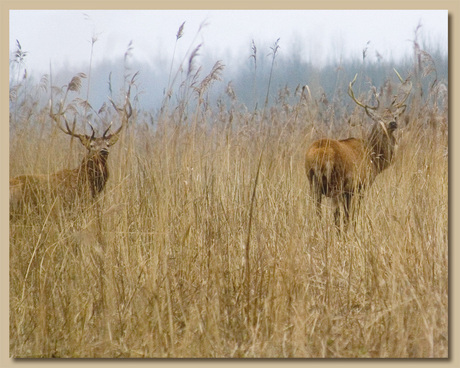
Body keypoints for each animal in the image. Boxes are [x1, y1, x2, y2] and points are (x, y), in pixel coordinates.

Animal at [306, 73, 410, 229]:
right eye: (379, 118)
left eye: (395, 116)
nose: (393, 123)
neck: (374, 159)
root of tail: (317, 156)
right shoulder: (360, 185)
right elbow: (352, 214)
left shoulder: (348, 191)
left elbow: (348, 215)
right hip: (335, 182)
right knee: (335, 213)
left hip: (312, 183)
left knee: (317, 212)